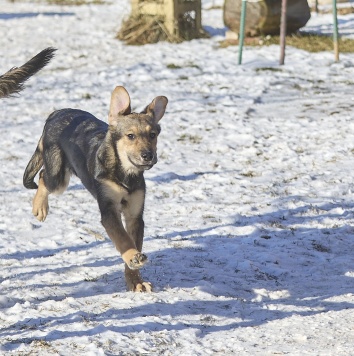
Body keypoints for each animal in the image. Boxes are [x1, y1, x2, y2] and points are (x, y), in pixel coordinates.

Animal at [23, 85, 169, 292]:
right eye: (130, 136)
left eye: (153, 135)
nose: (148, 156)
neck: (124, 172)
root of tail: (56, 113)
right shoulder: (109, 210)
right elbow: (123, 239)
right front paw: (133, 257)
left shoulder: (135, 215)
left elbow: (132, 241)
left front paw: (135, 281)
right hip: (59, 178)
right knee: (44, 176)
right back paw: (40, 208)